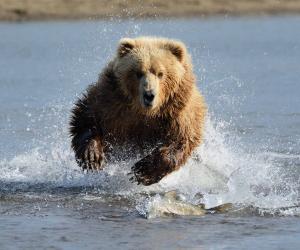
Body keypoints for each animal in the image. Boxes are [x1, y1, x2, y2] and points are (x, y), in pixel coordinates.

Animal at [69, 37, 206, 186]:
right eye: (138, 73)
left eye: (160, 73)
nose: (149, 95)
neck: (144, 111)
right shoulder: (111, 100)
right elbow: (86, 117)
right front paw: (92, 156)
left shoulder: (177, 112)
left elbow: (181, 140)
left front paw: (143, 171)